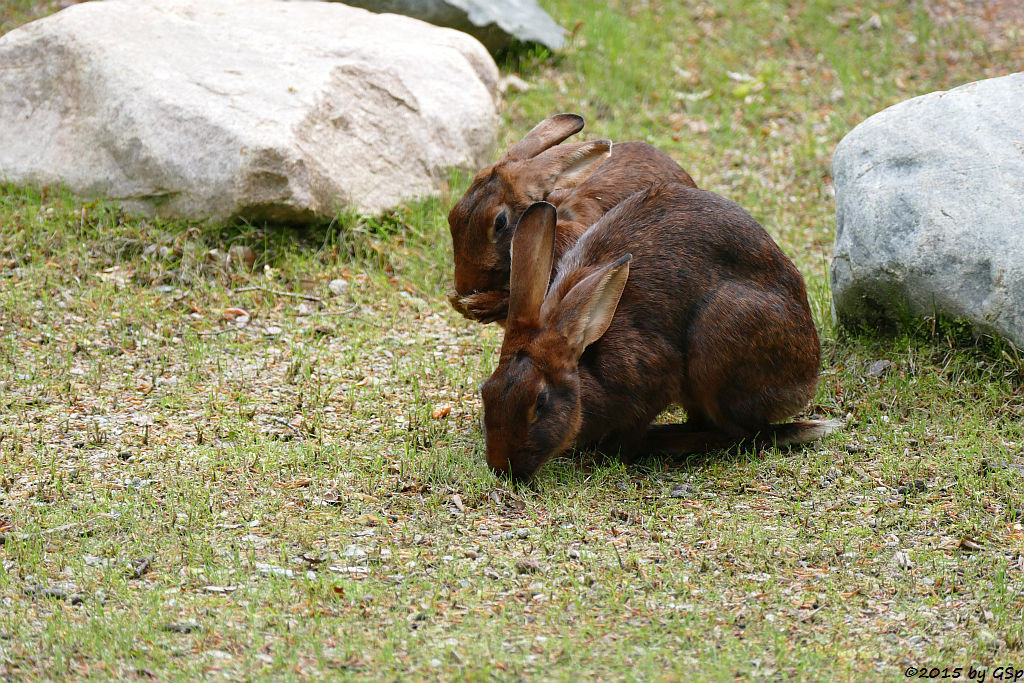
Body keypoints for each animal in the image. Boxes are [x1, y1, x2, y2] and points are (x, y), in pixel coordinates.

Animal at [483, 181, 835, 481]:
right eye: (486, 391)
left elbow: (630, 430)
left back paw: (666, 442)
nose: (503, 469)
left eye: (540, 401)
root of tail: (805, 381)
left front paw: (605, 454)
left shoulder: (654, 381)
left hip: (717, 350)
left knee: (739, 433)